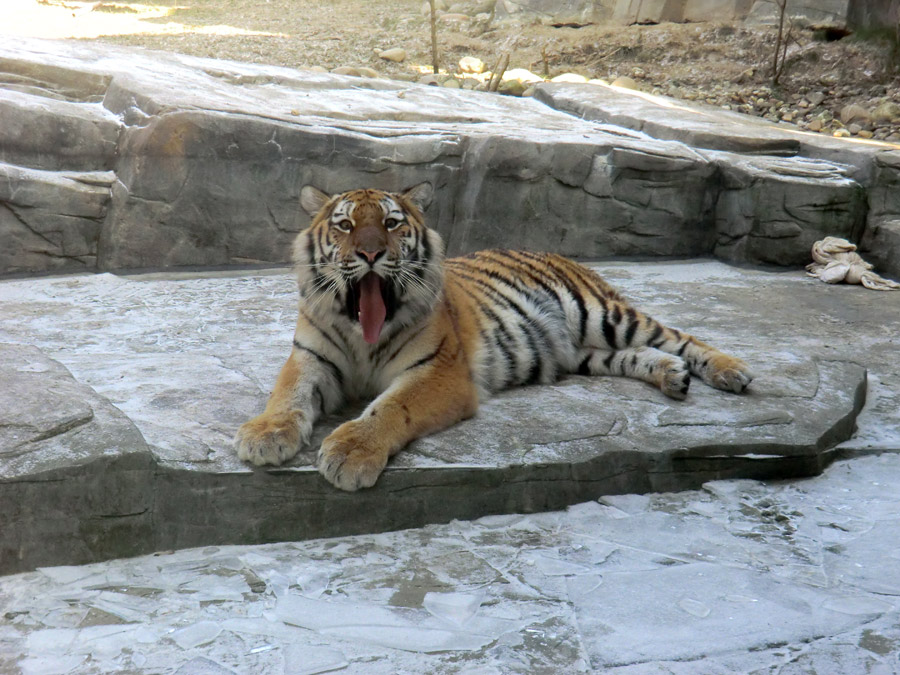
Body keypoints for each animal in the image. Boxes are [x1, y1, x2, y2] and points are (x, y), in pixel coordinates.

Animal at [234, 184, 752, 492]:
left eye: (391, 223)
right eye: (344, 225)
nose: (370, 253)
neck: (362, 332)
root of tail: (557, 253)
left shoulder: (439, 371)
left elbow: (390, 408)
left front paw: (351, 452)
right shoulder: (310, 358)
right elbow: (287, 395)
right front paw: (265, 436)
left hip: (603, 314)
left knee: (677, 335)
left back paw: (731, 372)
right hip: (585, 353)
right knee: (635, 355)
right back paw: (672, 378)